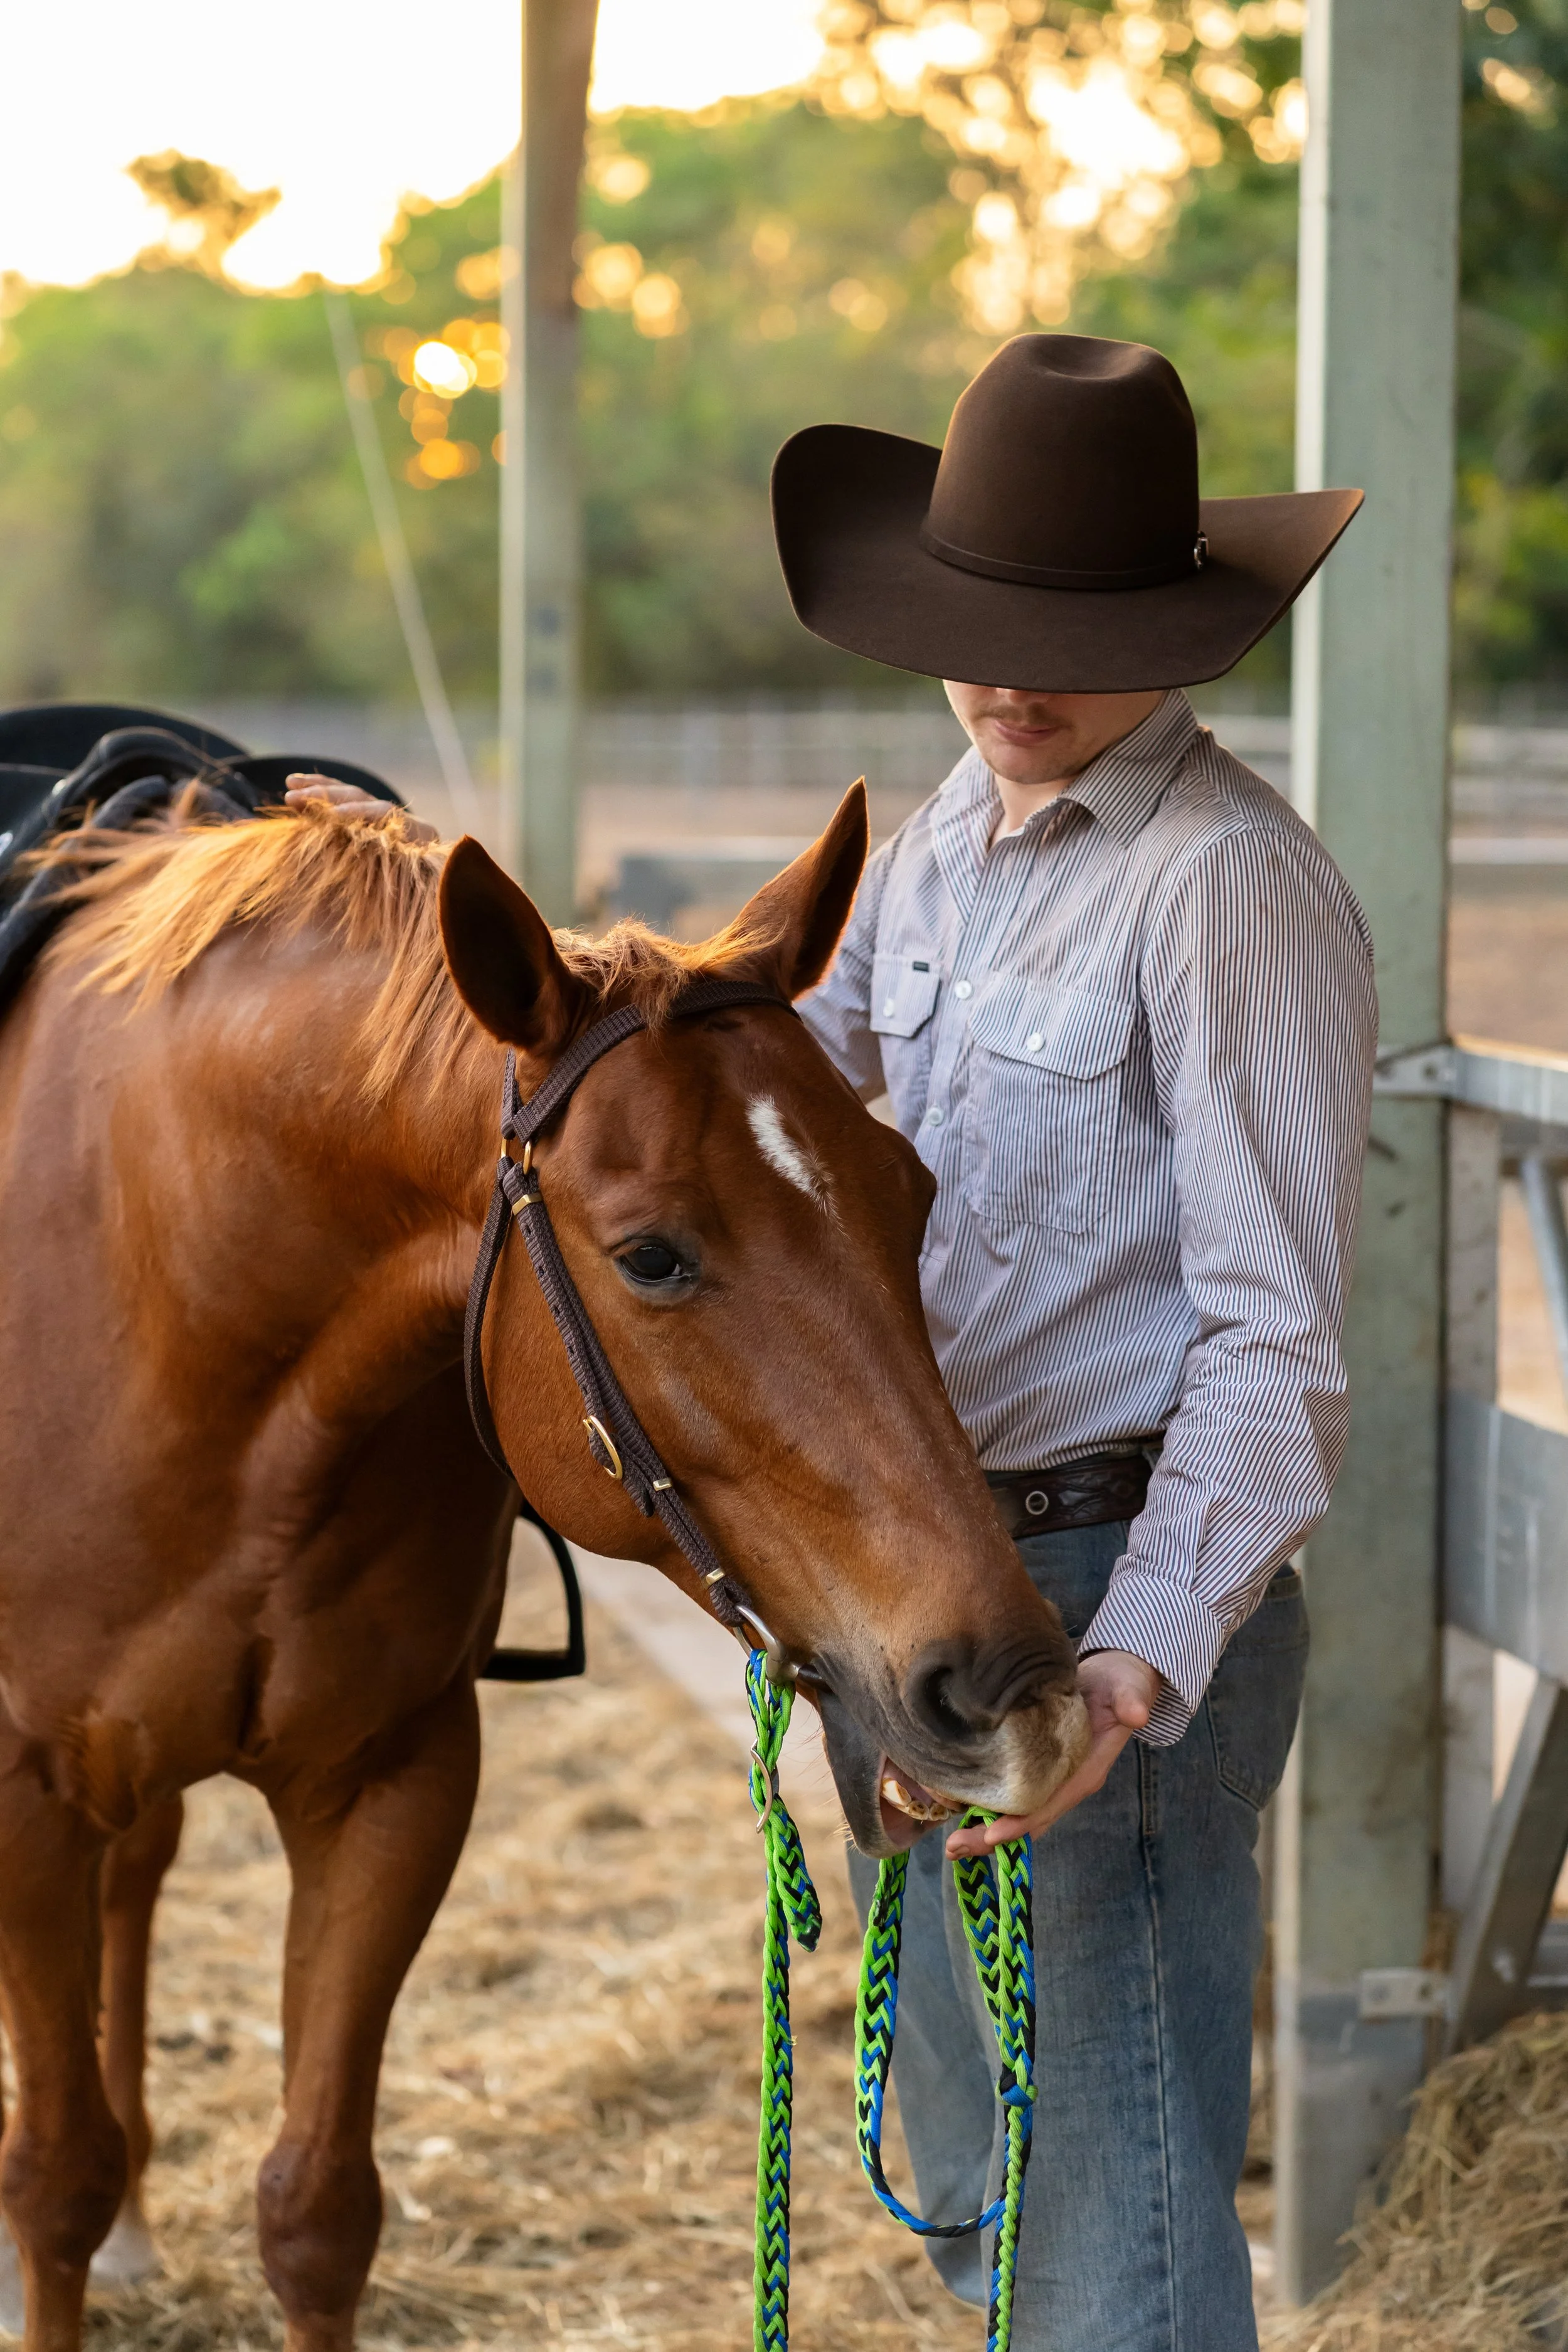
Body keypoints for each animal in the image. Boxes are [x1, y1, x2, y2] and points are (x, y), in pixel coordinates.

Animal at [0, 781, 1086, 2352]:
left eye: (909, 1193)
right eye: (650, 1258)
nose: (1007, 1691)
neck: (166, 1284)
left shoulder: (393, 1781)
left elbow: (318, 2208)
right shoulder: (28, 1798)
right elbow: (54, 2179)